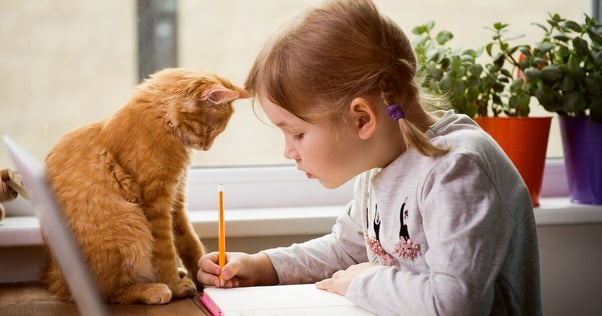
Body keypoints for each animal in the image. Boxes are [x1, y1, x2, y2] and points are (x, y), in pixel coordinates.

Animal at [43, 68, 247, 304]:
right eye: (209, 129)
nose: (206, 147)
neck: (164, 124)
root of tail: (59, 282)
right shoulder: (156, 203)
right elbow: (165, 251)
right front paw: (175, 285)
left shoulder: (175, 201)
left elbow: (189, 243)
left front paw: (205, 274)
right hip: (129, 222)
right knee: (109, 292)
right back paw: (153, 289)